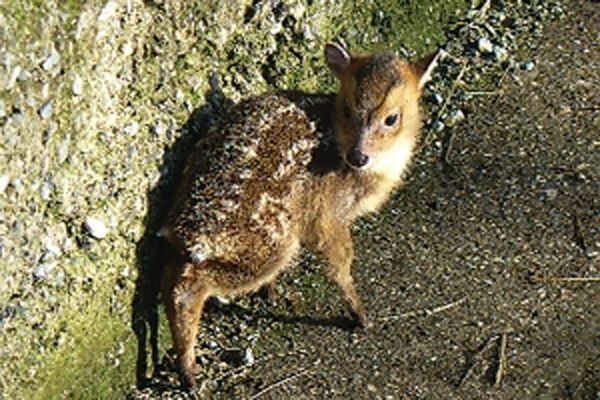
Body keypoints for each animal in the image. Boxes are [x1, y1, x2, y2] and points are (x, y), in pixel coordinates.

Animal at [159, 40, 440, 388]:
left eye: (391, 118)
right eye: (347, 109)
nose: (357, 156)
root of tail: (192, 232)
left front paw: (272, 292)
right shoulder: (327, 215)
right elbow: (340, 265)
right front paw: (361, 315)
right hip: (271, 244)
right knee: (189, 287)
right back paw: (189, 371)